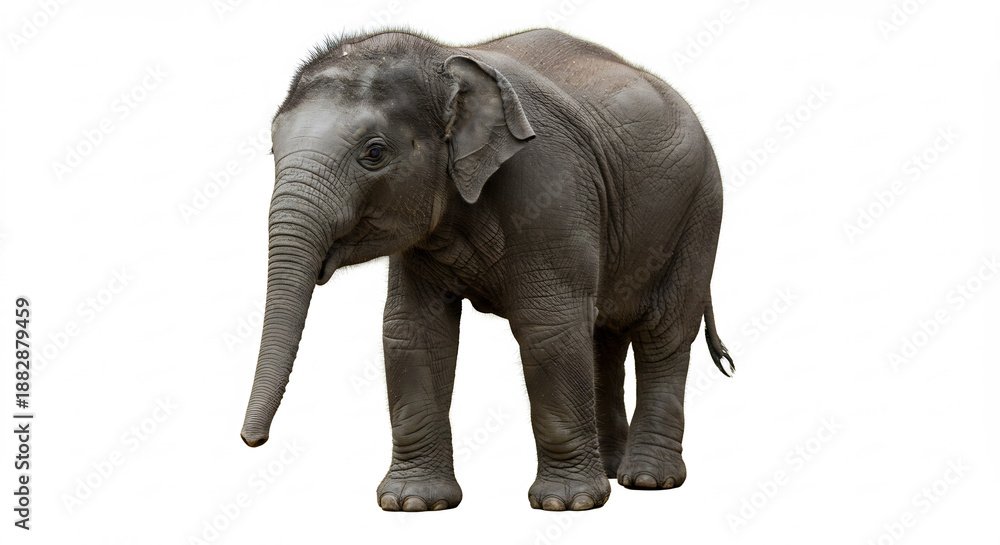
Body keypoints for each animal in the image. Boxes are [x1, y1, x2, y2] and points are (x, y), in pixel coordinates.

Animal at [240, 27, 733, 512]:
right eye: (272, 148)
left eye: (374, 153)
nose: (252, 440)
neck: (444, 57)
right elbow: (412, 330)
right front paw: (411, 502)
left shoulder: (551, 185)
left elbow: (547, 327)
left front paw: (566, 504)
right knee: (602, 336)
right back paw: (614, 470)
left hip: (699, 212)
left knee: (662, 333)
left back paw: (648, 481)